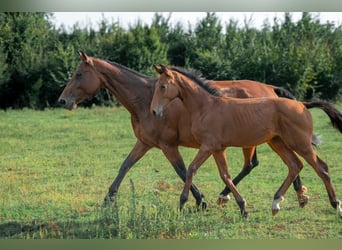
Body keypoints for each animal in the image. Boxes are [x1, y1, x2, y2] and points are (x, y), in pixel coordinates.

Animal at [56, 50, 308, 209]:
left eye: (78, 74)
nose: (63, 101)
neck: (145, 99)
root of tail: (270, 88)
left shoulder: (168, 145)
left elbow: (182, 170)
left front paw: (200, 200)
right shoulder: (144, 143)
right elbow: (125, 166)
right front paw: (108, 199)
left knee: (259, 164)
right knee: (269, 164)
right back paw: (297, 195)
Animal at [151, 64, 342, 217]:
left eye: (163, 86)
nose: (154, 111)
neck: (206, 107)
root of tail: (303, 104)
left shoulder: (208, 146)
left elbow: (191, 169)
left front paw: (182, 202)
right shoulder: (218, 149)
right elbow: (225, 176)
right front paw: (242, 207)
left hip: (300, 143)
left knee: (322, 168)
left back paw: (336, 205)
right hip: (278, 143)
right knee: (295, 165)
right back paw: (276, 203)